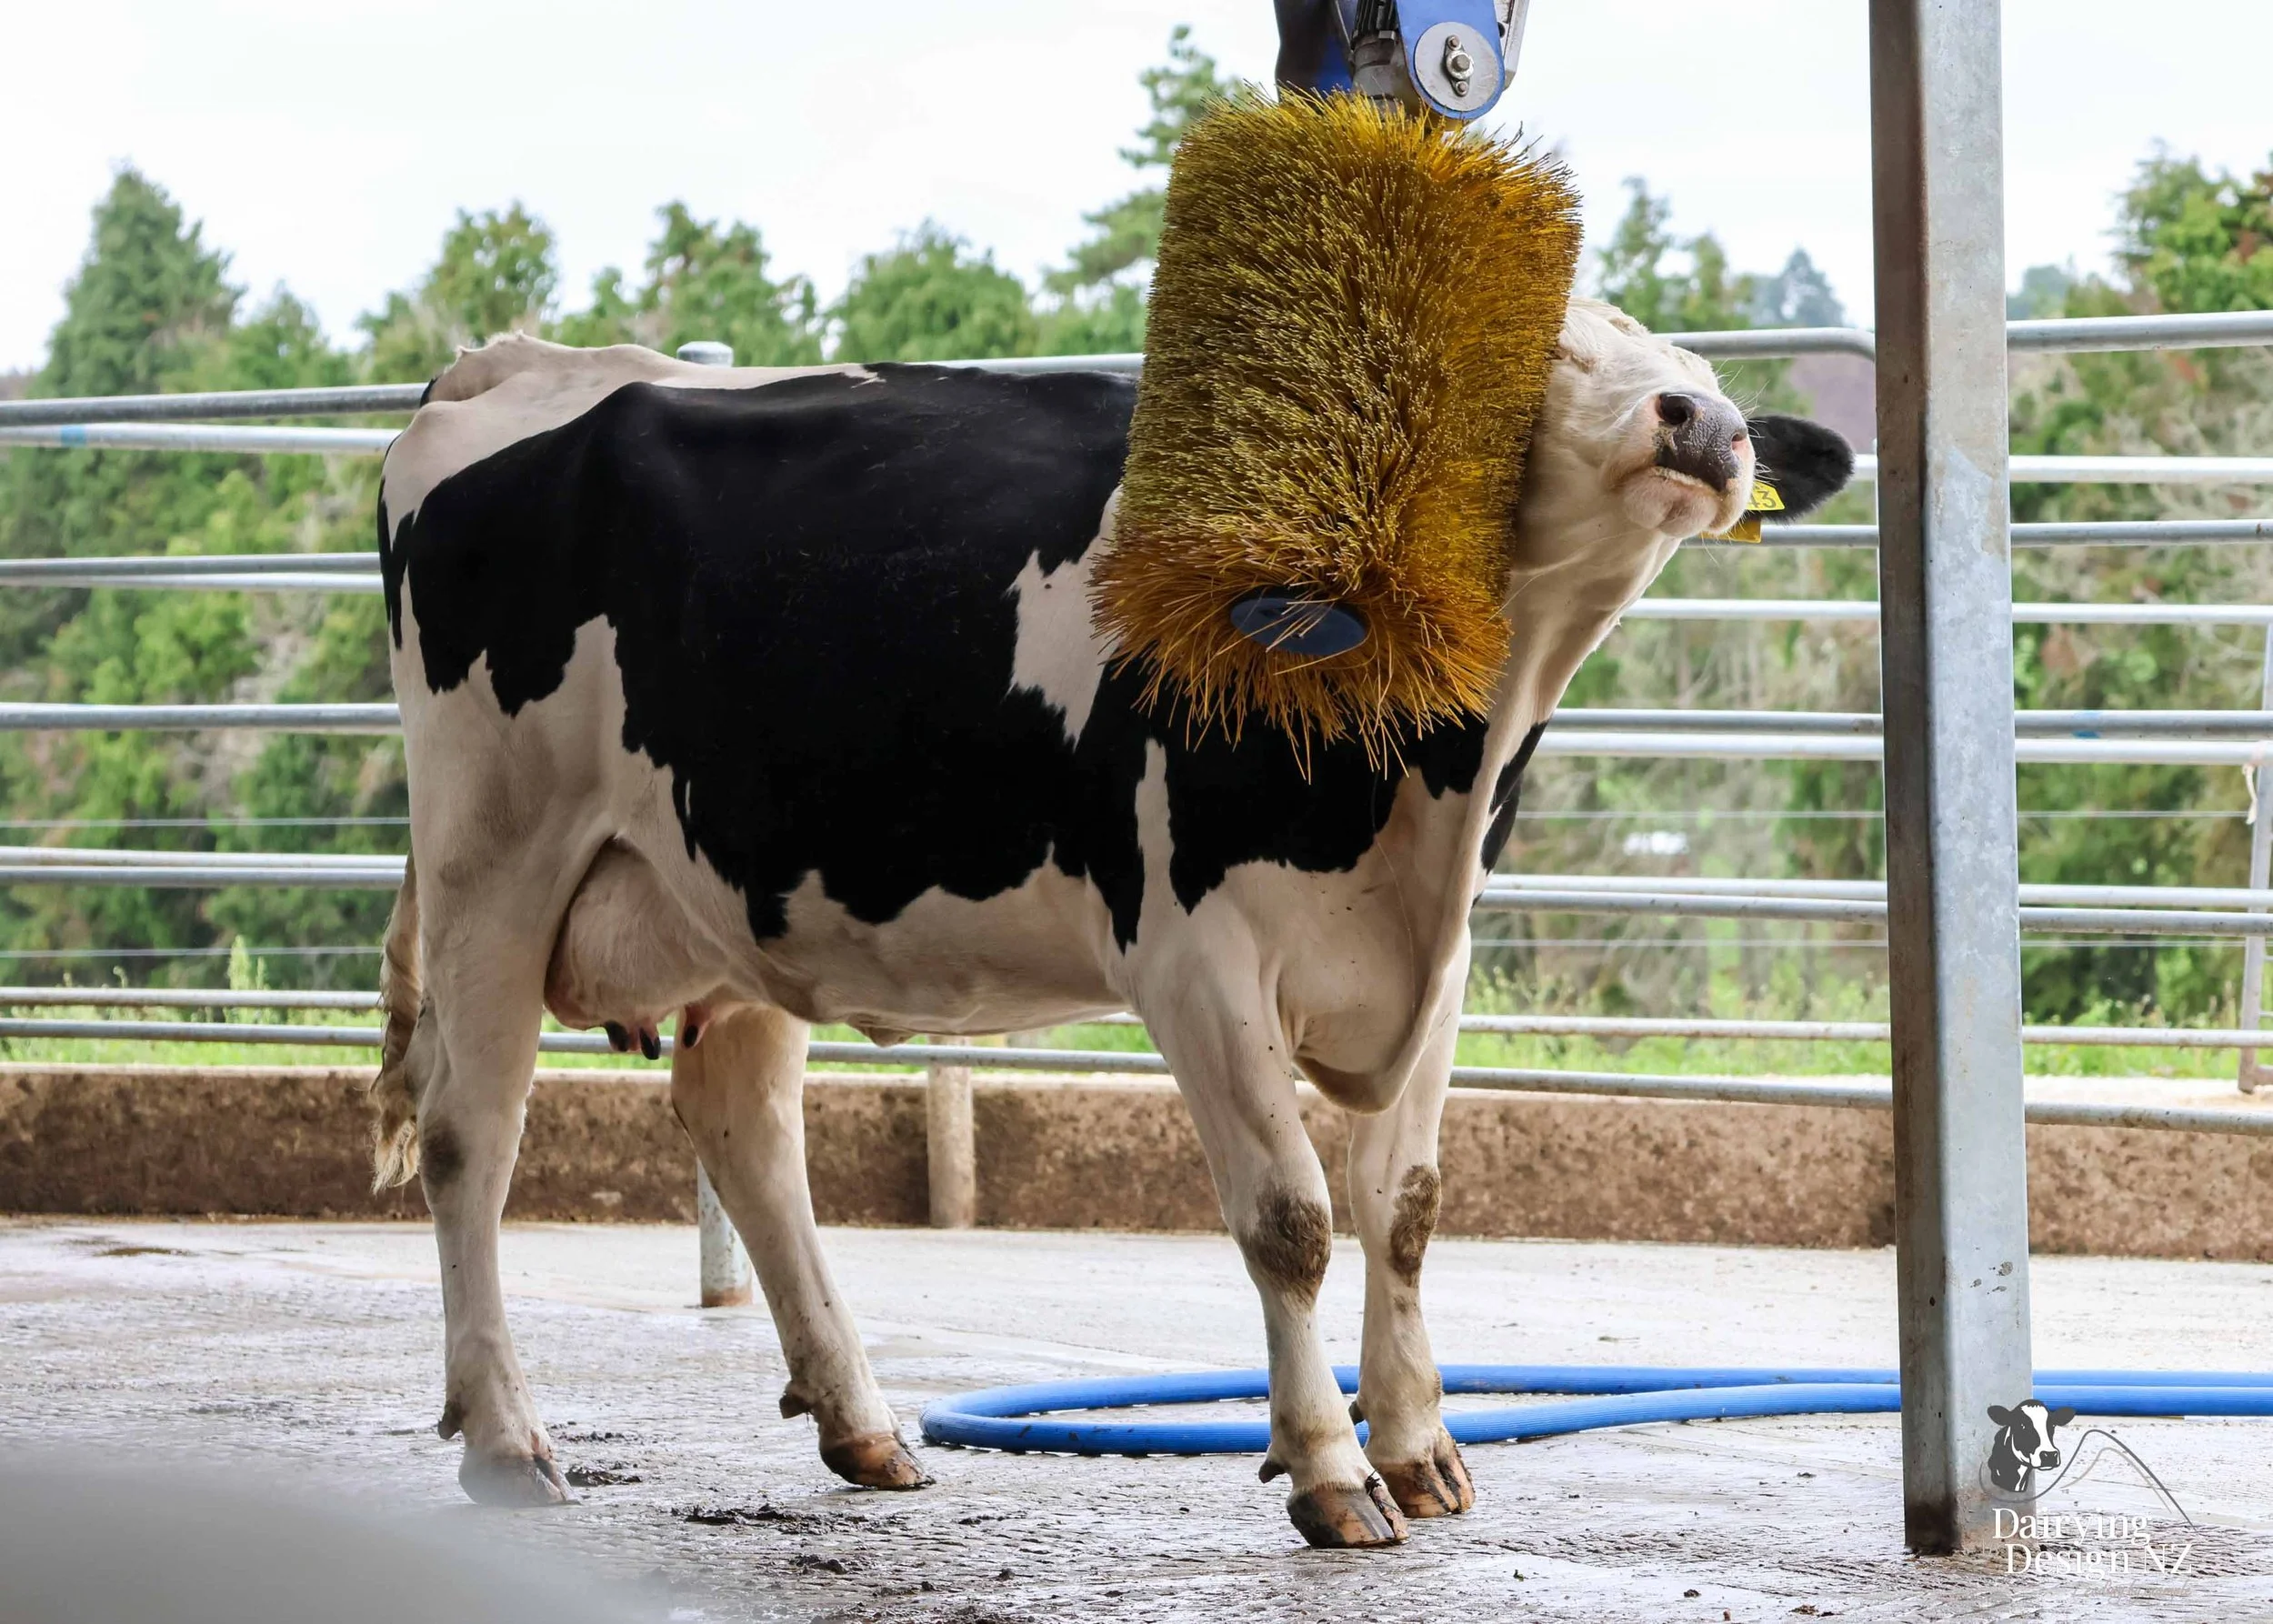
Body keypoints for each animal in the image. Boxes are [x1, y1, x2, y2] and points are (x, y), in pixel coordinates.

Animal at [368, 297, 1852, 1548]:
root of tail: (521, 367)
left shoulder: (1441, 954)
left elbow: (1408, 1207)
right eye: (1547, 350)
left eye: (1703, 370)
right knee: (469, 1135)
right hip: (494, 860)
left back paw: (863, 1423)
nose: (1704, 423)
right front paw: (1331, 1472)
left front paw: (1423, 1449)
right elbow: (1291, 1217)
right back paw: (506, 1440)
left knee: (746, 1125)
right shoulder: (1196, 951)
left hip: (738, 890)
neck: (1433, 773)